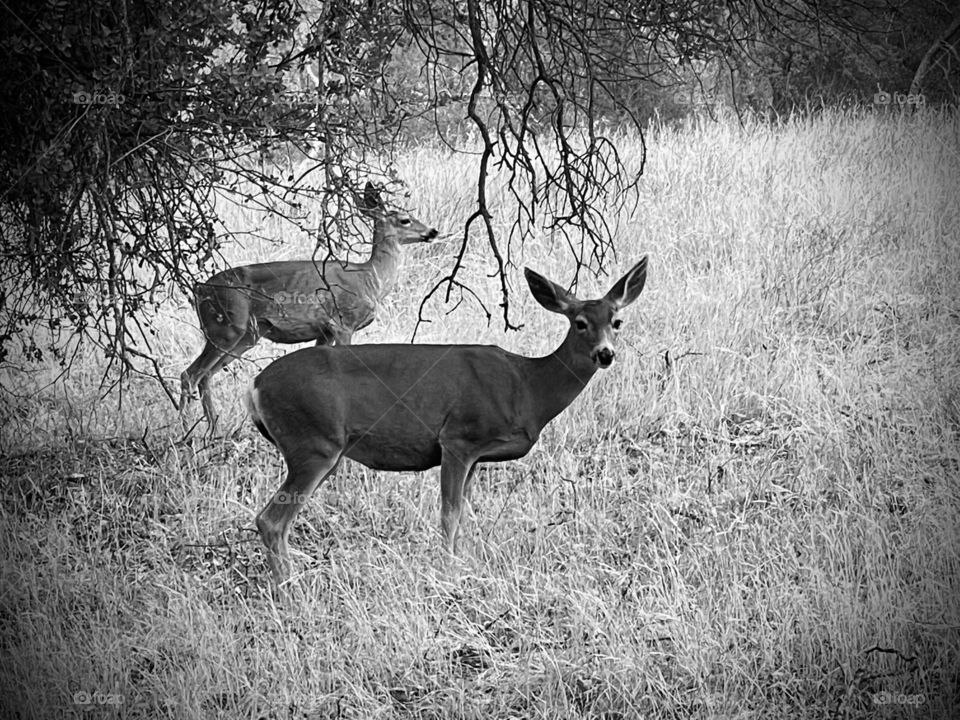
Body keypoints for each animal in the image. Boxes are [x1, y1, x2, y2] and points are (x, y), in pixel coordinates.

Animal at [180, 183, 438, 430]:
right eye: (405, 219)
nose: (432, 231)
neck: (371, 278)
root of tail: (199, 289)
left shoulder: (324, 331)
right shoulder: (343, 323)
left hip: (247, 335)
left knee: (204, 376)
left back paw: (213, 430)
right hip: (226, 326)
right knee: (190, 374)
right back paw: (188, 431)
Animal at [245, 256, 648, 583]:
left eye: (617, 321)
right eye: (579, 323)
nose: (606, 354)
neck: (527, 388)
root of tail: (255, 385)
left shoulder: (477, 456)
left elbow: (465, 514)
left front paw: (463, 563)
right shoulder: (458, 439)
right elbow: (449, 515)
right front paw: (449, 571)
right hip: (314, 442)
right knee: (271, 521)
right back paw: (289, 589)